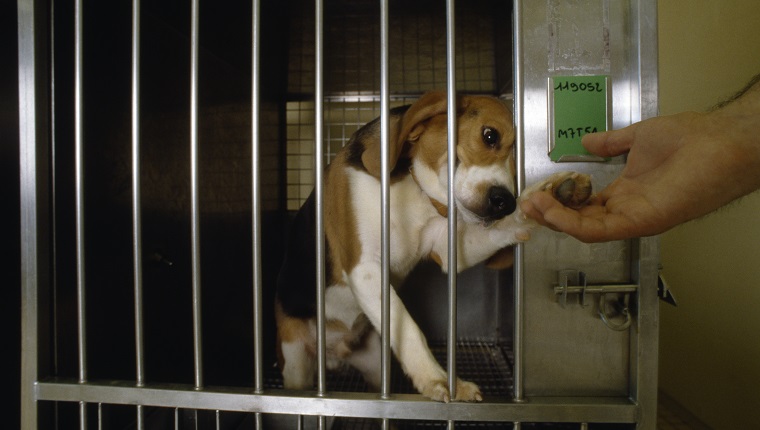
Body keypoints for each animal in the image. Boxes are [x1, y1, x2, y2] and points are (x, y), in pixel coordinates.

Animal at [276, 91, 592, 404]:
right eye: (490, 135)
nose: (505, 202)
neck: (413, 189)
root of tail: (333, 355)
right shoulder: (364, 268)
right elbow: (409, 328)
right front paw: (438, 380)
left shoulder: (447, 248)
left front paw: (554, 194)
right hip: (295, 360)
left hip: (375, 365)